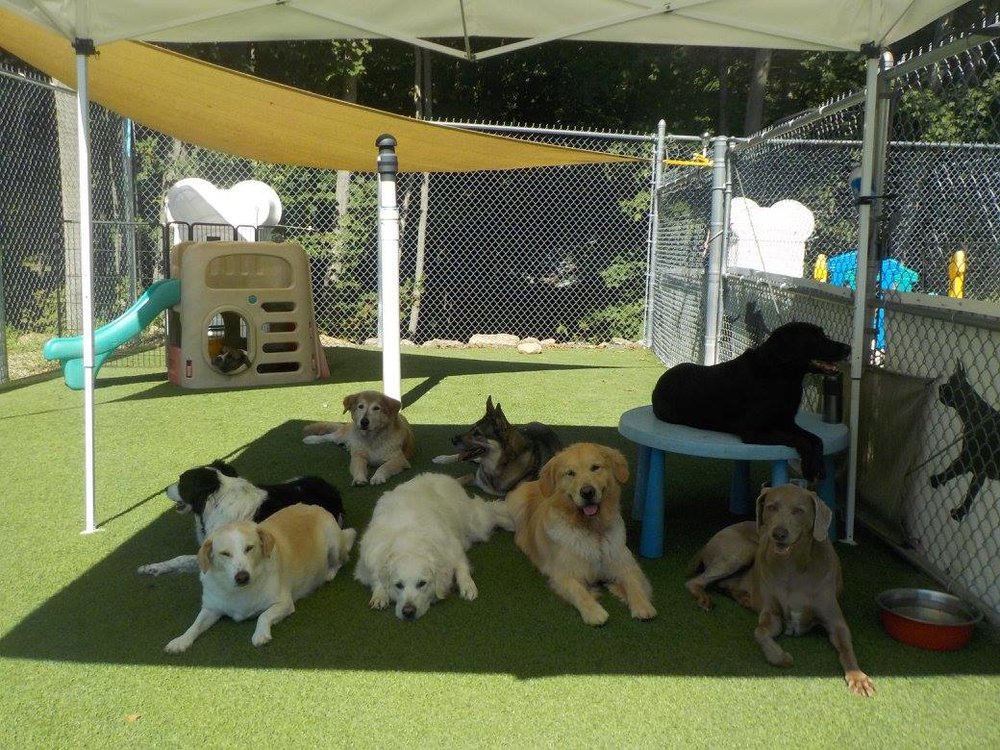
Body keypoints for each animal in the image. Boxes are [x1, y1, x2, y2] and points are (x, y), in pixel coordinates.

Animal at [162, 502, 354, 656]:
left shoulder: (284, 603)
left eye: (249, 548)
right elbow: (194, 625)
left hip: (334, 545)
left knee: (342, 560)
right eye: (225, 554)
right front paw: (181, 640)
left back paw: (329, 572)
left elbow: (264, 615)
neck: (239, 591)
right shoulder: (211, 608)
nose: (242, 576)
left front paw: (260, 634)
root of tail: (313, 506)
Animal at [354, 476, 512, 624]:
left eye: (422, 583)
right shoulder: (368, 562)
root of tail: (442, 476)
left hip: (476, 526)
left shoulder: (454, 550)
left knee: (491, 510)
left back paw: (510, 523)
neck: (409, 542)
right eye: (398, 585)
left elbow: (462, 569)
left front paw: (468, 586)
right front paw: (379, 595)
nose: (408, 611)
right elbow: (377, 577)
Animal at [652, 324, 848, 482]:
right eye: (815, 337)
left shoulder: (786, 422)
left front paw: (819, 466)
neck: (782, 376)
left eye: (822, 334)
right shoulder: (753, 431)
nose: (849, 347)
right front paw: (810, 468)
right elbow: (801, 440)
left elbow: (816, 439)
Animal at [688, 484, 876, 696]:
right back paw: (705, 599)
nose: (778, 534)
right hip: (742, 551)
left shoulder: (836, 622)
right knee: (695, 582)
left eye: (799, 511)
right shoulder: (773, 616)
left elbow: (846, 648)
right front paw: (781, 657)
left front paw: (858, 678)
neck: (792, 567)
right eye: (771, 507)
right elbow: (759, 631)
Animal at [928, 362, 1000, 524]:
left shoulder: (969, 458)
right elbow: (970, 493)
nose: (940, 386)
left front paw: (938, 479)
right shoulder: (977, 468)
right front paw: (961, 511)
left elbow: (953, 470)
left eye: (950, 382)